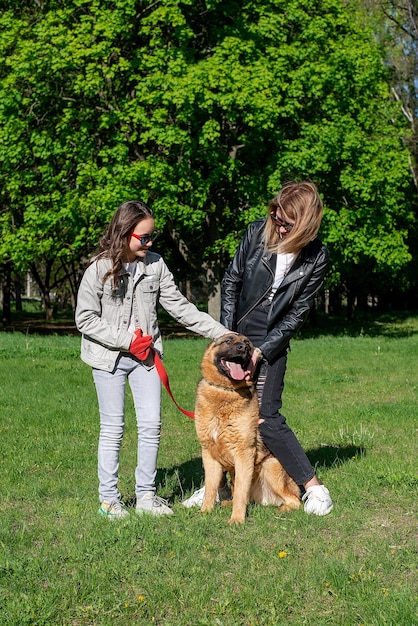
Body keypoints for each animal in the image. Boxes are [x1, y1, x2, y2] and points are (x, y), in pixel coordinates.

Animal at [194, 332, 302, 520]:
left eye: (247, 344)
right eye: (228, 341)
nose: (243, 348)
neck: (225, 390)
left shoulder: (244, 453)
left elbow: (240, 491)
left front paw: (237, 519)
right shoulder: (209, 455)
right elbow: (210, 488)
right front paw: (205, 512)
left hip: (270, 466)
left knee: (295, 500)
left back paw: (283, 509)